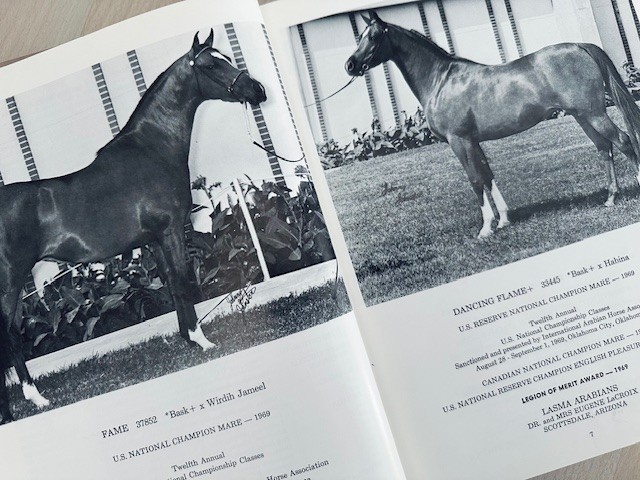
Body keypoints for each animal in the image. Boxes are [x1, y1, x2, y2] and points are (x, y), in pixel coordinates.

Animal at [0, 29, 266, 423]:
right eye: (210, 65)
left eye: (226, 58)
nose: (258, 90)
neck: (154, 149)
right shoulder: (171, 232)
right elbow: (184, 283)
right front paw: (203, 341)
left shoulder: (155, 240)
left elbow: (172, 285)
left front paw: (188, 339)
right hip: (11, 281)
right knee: (8, 335)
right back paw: (24, 405)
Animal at [345, 12, 640, 238]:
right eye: (360, 36)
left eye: (374, 36)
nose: (350, 65)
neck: (441, 80)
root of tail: (579, 45)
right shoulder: (473, 141)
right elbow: (487, 176)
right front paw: (504, 220)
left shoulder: (459, 140)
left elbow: (475, 179)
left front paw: (486, 228)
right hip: (582, 116)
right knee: (604, 148)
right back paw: (610, 198)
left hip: (593, 114)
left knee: (623, 141)